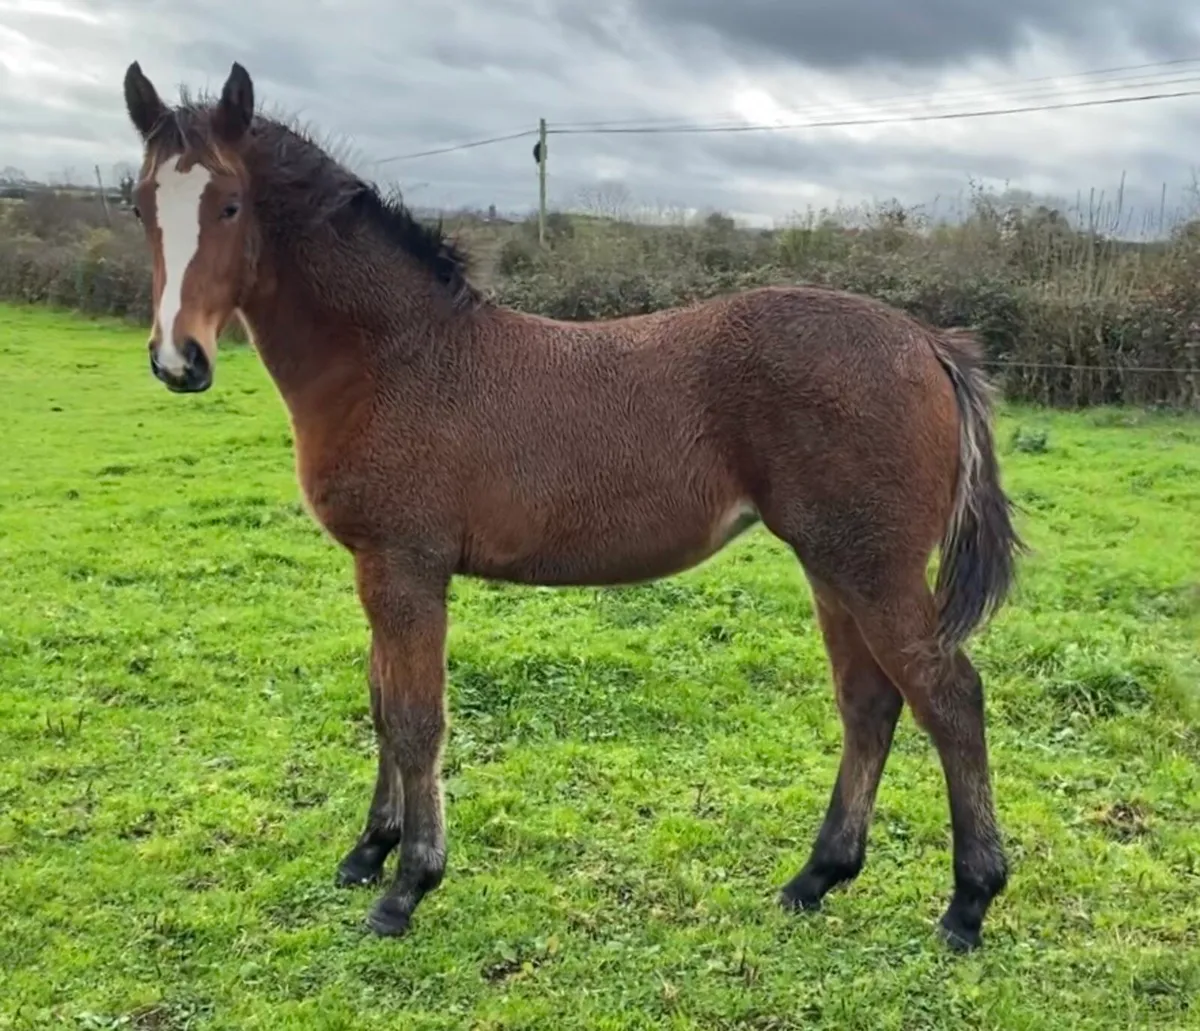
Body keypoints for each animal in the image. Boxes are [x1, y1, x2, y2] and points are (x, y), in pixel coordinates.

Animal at [120, 59, 1023, 952]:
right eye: (138, 205)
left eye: (230, 204)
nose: (178, 361)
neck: (397, 357)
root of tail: (929, 344)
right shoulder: (376, 567)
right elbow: (381, 705)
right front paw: (368, 851)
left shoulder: (405, 566)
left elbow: (417, 719)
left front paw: (407, 886)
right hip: (832, 563)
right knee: (870, 700)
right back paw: (816, 877)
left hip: (873, 566)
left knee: (949, 697)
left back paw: (968, 902)